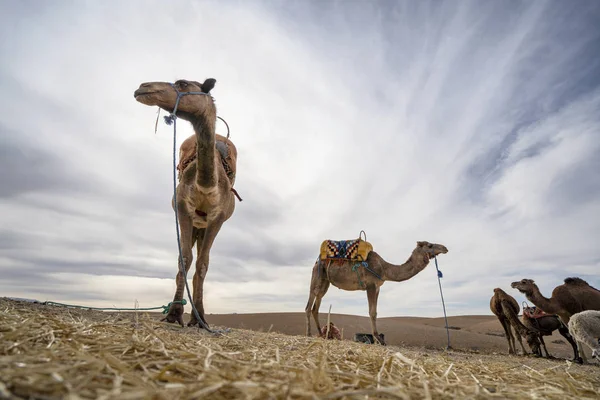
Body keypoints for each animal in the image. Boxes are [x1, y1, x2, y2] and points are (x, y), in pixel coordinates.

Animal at [134, 78, 237, 328]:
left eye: (182, 83)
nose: (143, 86)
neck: (206, 185)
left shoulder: (218, 218)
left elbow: (202, 264)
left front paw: (200, 319)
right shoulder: (182, 208)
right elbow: (184, 259)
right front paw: (174, 313)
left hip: (203, 227)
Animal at [304, 233, 446, 346]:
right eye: (430, 245)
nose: (445, 248)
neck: (384, 269)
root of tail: (317, 260)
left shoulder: (377, 287)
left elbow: (376, 312)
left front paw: (379, 339)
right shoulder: (370, 285)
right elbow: (372, 312)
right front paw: (378, 339)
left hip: (325, 281)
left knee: (316, 305)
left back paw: (321, 335)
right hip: (317, 275)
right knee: (309, 304)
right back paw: (309, 333)